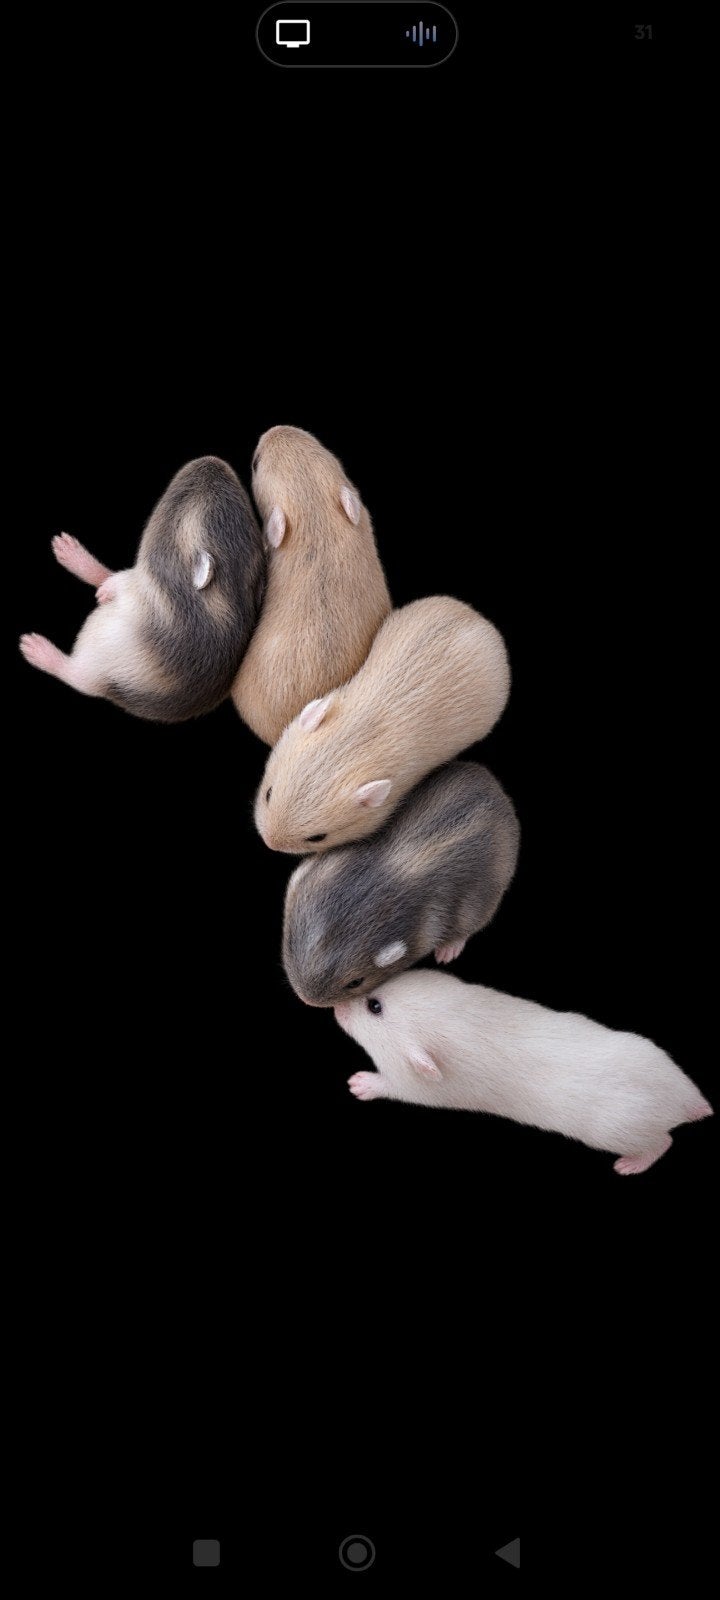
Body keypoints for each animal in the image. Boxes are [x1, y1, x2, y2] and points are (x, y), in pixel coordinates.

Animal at [19, 456, 266, 722]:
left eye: (183, 500)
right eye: (243, 506)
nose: (212, 460)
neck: (228, 590)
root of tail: (108, 688)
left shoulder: (142, 586)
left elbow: (118, 584)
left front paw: (105, 592)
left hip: (96, 655)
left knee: (74, 675)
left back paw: (35, 647)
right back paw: (67, 549)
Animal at [334, 970, 713, 1175]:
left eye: (374, 1006)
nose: (335, 1006)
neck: (462, 1018)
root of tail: (686, 1100)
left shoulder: (417, 1086)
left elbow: (389, 1084)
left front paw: (360, 1084)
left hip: (619, 1130)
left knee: (662, 1142)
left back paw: (630, 1165)